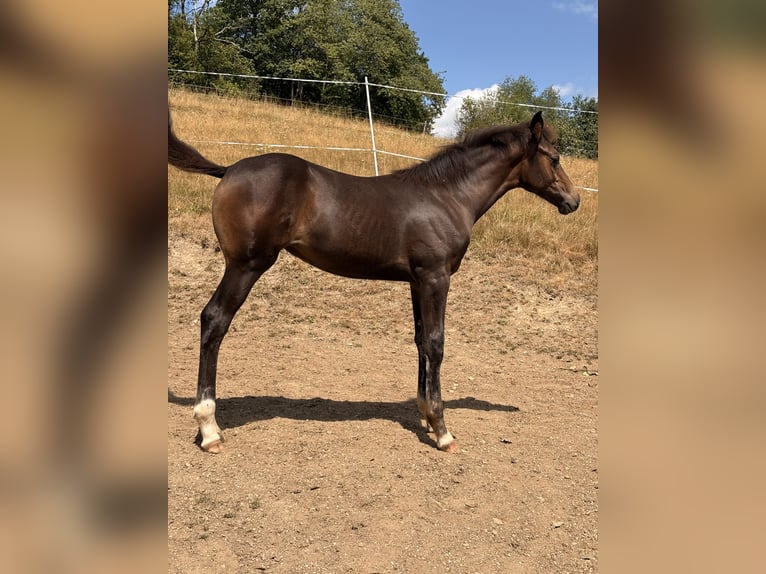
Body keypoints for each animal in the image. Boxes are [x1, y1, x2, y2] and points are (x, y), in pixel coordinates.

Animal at [168, 110, 579, 453]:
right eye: (555, 158)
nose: (573, 201)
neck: (447, 196)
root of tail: (229, 170)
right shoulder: (436, 277)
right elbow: (436, 344)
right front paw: (442, 431)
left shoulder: (417, 281)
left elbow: (420, 341)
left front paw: (426, 414)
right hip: (246, 265)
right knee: (214, 320)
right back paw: (209, 429)